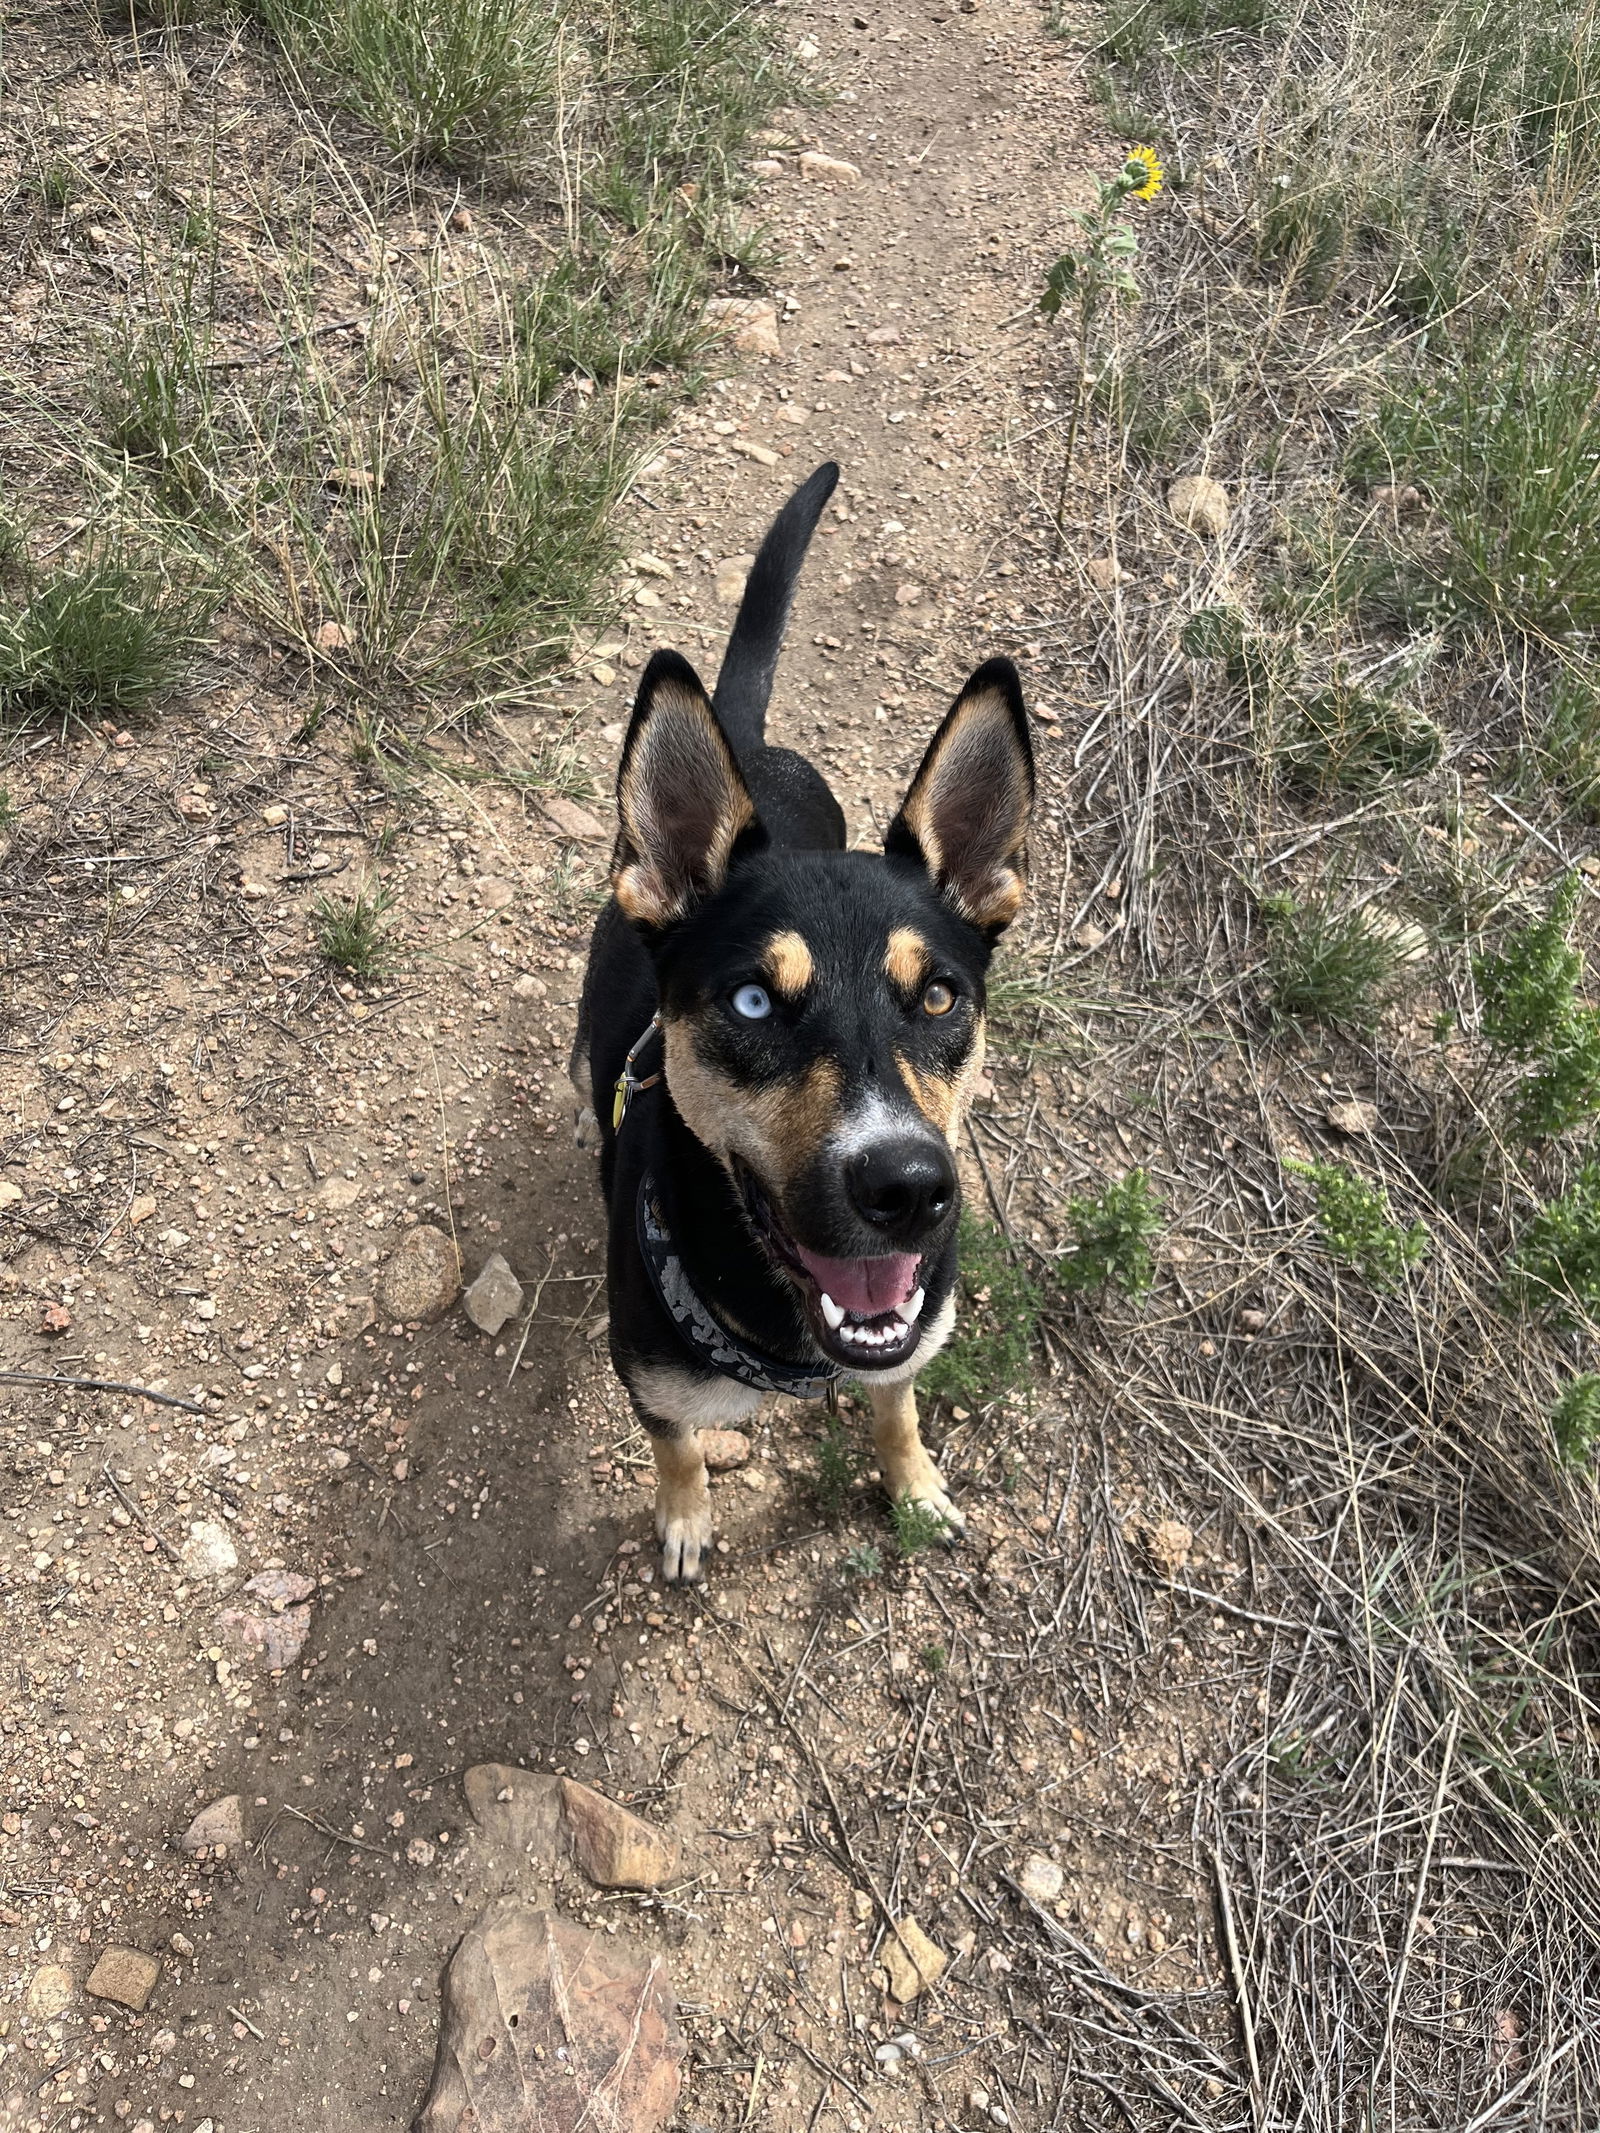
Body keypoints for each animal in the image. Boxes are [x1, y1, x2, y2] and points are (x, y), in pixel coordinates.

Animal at [576, 458, 1041, 1578]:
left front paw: (914, 1487)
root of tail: (739, 739)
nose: (905, 1187)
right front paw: (685, 1521)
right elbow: (678, 1451)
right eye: (752, 999)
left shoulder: (907, 1338)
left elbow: (897, 1409)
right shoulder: (650, 1381)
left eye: (938, 995)